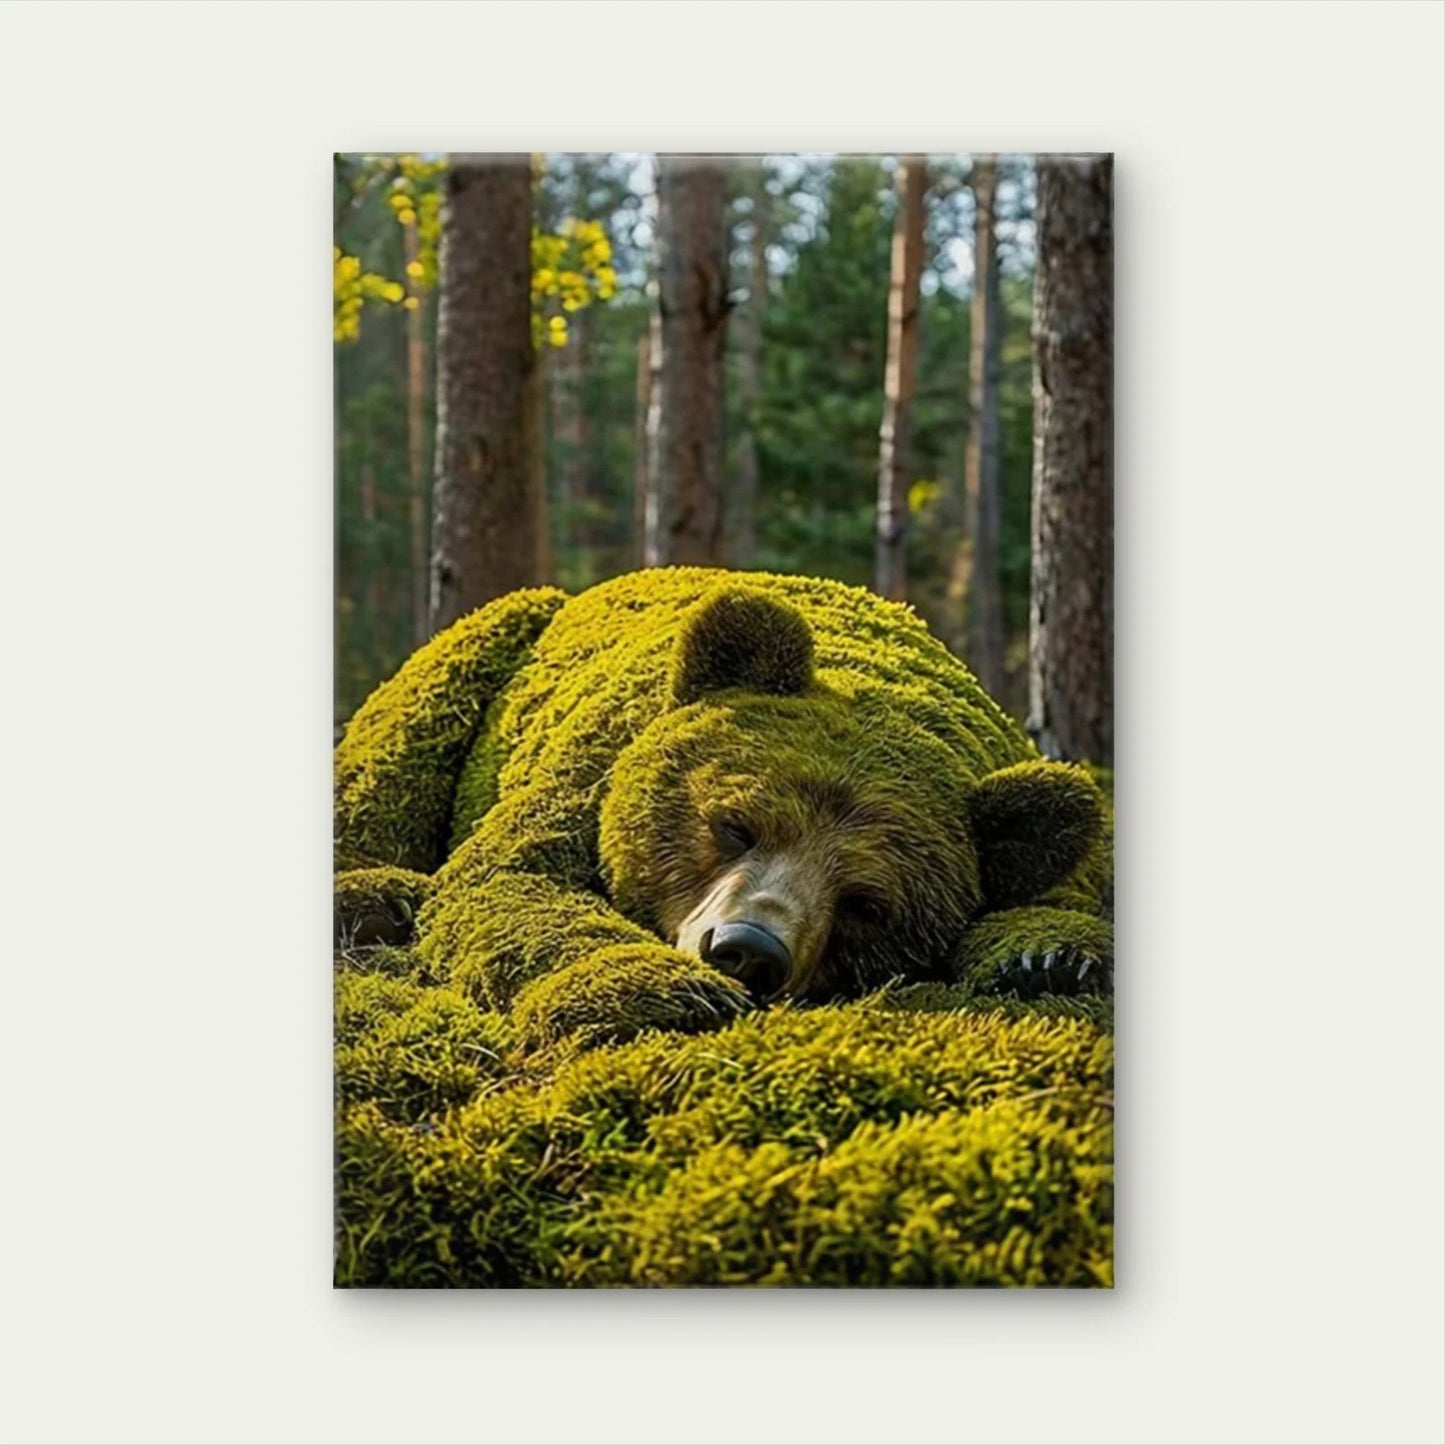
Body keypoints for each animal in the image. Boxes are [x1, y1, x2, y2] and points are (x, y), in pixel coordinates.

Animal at [333, 568, 1113, 1048]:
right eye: (734, 825)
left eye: (867, 903)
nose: (747, 949)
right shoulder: (588, 778)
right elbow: (509, 884)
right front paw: (666, 990)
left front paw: (1048, 956)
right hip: (487, 651)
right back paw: (378, 896)